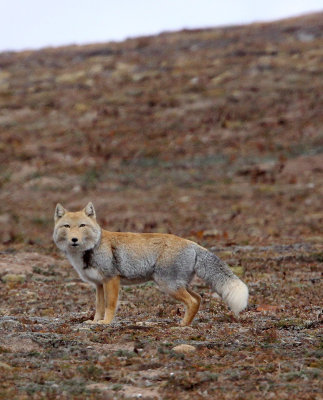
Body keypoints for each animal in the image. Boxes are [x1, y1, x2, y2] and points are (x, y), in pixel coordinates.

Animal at [53, 202, 251, 326]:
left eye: (82, 226)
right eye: (67, 226)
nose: (74, 240)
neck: (91, 249)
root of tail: (192, 243)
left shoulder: (112, 280)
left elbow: (110, 305)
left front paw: (106, 323)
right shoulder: (99, 284)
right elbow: (99, 307)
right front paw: (94, 322)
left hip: (168, 285)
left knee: (193, 301)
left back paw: (181, 325)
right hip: (179, 284)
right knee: (199, 298)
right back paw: (186, 323)